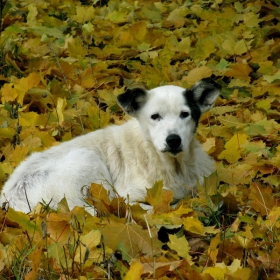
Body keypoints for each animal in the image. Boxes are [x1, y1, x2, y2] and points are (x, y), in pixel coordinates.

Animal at [1, 79, 222, 212]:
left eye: (185, 114)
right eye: (155, 116)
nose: (173, 140)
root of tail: (9, 200)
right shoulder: (127, 195)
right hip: (87, 162)